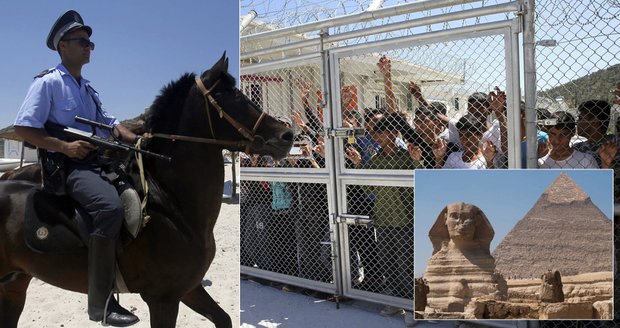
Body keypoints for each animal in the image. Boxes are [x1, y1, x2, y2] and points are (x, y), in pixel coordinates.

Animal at [0, 54, 294, 328]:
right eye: (233, 95)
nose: (287, 136)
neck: (171, 204)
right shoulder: (163, 299)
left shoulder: (189, 289)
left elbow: (224, 319)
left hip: (14, 283)